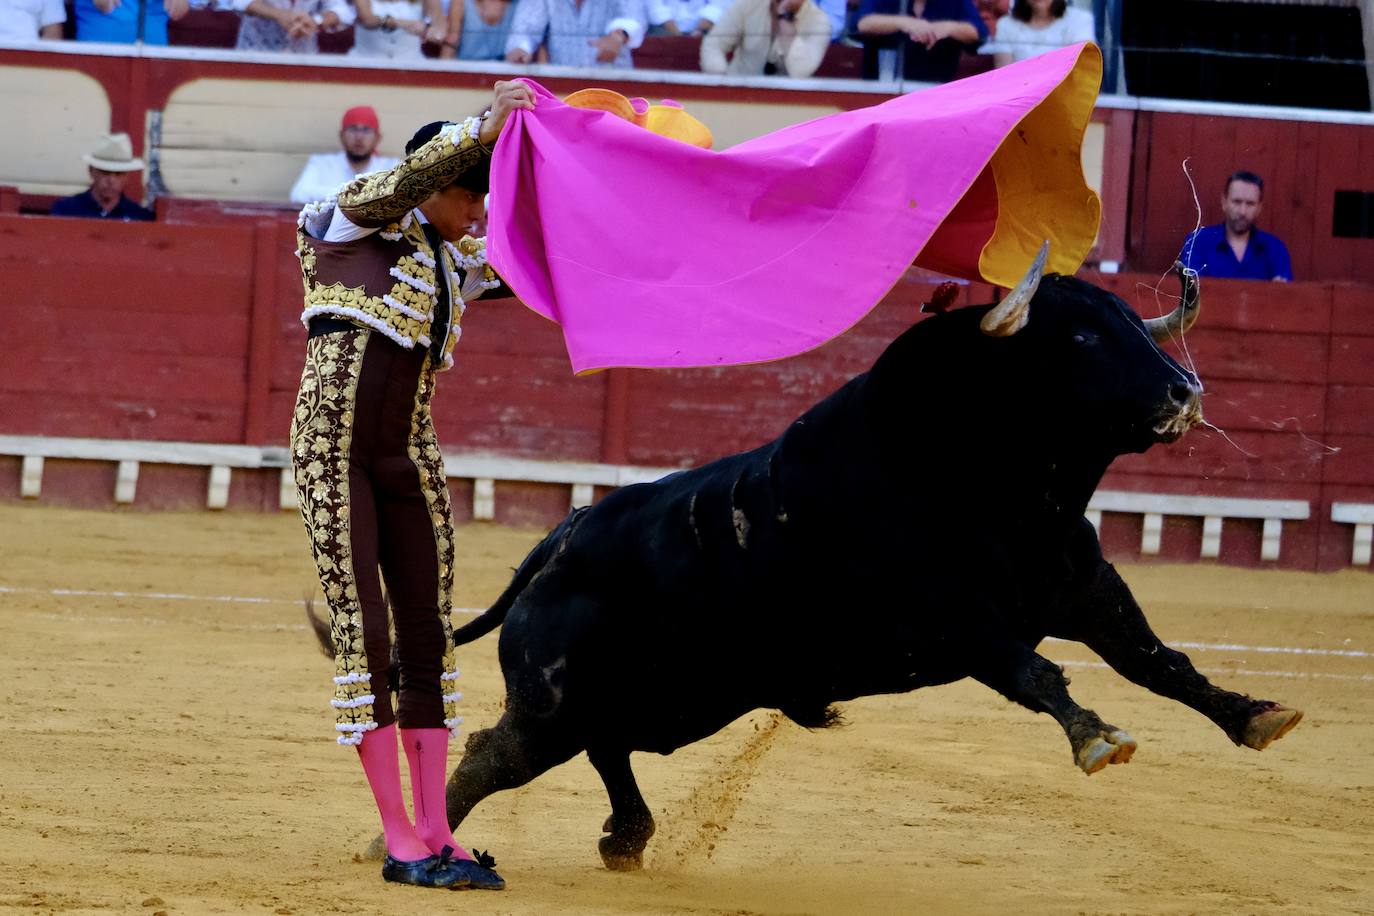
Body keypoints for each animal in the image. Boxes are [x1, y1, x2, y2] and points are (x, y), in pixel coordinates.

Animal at [327, 254, 1302, 873]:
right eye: (1082, 341)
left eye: (1133, 324)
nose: (1186, 391)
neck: (999, 482)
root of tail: (554, 544)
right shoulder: (961, 623)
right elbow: (1040, 674)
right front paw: (1098, 738)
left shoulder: (1086, 588)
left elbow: (1160, 662)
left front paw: (1257, 715)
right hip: (558, 699)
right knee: (497, 754)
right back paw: (405, 847)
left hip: (674, 693)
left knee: (606, 746)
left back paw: (625, 839)